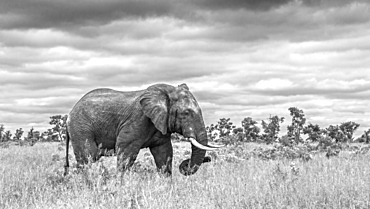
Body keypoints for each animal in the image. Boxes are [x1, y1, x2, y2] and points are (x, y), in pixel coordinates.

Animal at [63, 83, 223, 176]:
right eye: (186, 113)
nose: (209, 159)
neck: (166, 92)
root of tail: (69, 113)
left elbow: (164, 153)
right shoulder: (138, 119)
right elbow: (126, 151)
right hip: (81, 128)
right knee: (88, 157)